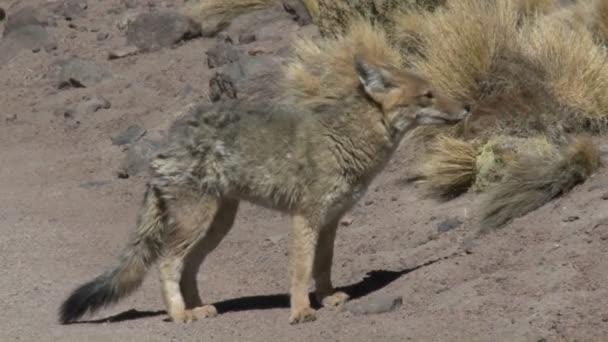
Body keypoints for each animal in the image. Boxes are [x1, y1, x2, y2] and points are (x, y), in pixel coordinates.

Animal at [59, 56, 470, 326]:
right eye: (427, 95)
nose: (466, 107)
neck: (347, 137)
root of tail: (166, 142)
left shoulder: (331, 219)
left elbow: (323, 265)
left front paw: (327, 298)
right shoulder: (305, 217)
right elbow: (301, 269)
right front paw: (301, 311)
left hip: (218, 225)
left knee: (189, 267)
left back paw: (200, 308)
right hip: (196, 222)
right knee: (167, 263)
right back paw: (179, 315)